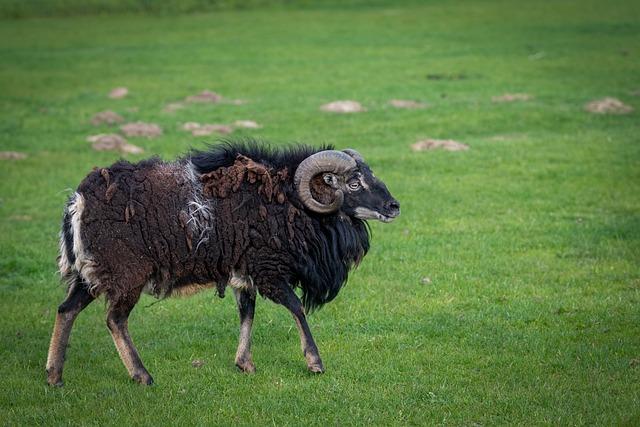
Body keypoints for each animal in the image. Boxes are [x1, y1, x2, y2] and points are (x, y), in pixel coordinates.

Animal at [46, 142, 400, 386]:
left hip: (91, 273)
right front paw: (314, 362)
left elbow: (247, 313)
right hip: (127, 273)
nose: (394, 206)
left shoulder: (243, 273)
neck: (289, 201)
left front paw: (245, 364)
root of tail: (78, 201)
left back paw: (54, 376)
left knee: (66, 310)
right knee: (115, 319)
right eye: (353, 183)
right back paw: (141, 375)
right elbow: (296, 307)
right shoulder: (267, 269)